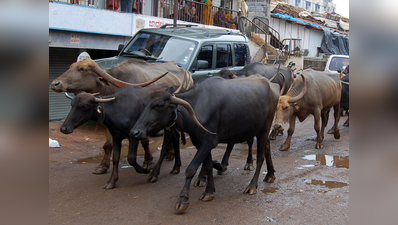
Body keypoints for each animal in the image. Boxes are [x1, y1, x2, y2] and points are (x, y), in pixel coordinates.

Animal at [50, 58, 194, 174]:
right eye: (70, 66)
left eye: (83, 69)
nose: (55, 84)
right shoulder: (109, 121)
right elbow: (108, 145)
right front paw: (102, 166)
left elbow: (144, 141)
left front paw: (148, 162)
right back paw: (170, 154)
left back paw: (170, 154)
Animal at [131, 74, 280, 212]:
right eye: (144, 104)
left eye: (159, 105)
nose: (135, 132)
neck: (197, 105)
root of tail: (272, 85)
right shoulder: (200, 143)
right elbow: (207, 166)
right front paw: (209, 191)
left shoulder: (208, 142)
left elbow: (191, 169)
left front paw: (183, 198)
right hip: (259, 130)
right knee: (267, 149)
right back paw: (270, 175)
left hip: (264, 129)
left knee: (260, 156)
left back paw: (252, 186)